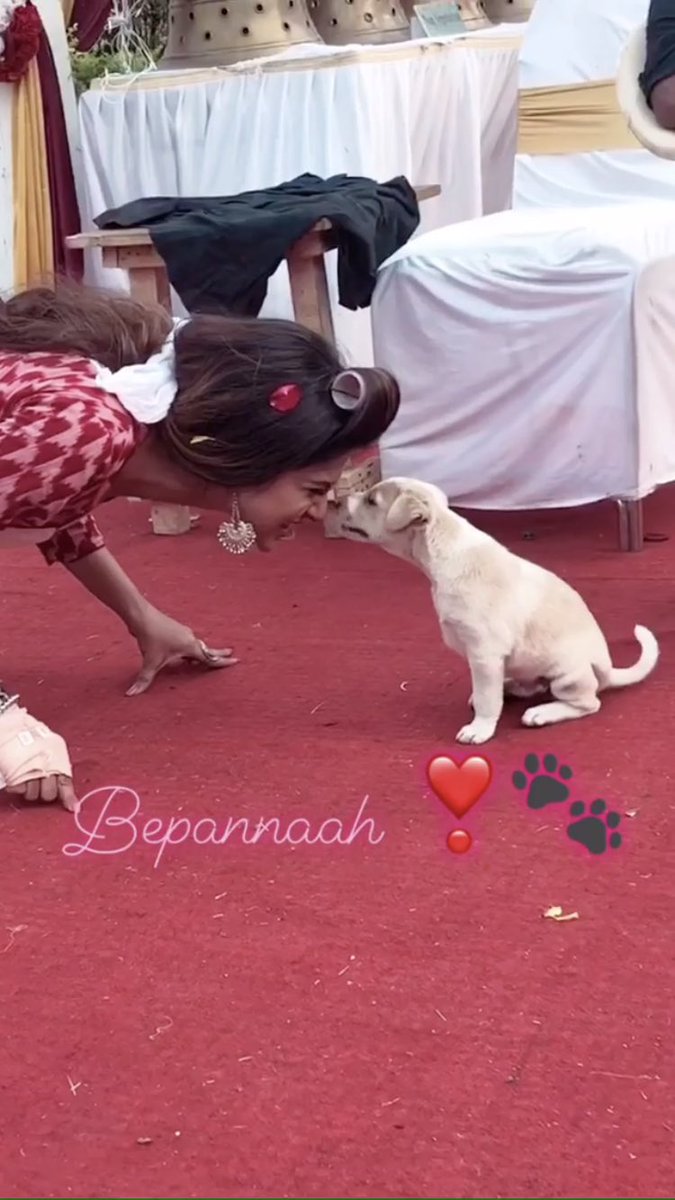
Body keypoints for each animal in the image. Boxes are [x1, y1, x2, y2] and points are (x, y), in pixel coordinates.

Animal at [336, 477, 659, 744]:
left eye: (371, 501)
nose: (336, 500)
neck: (443, 548)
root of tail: (608, 671)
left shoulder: (484, 653)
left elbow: (486, 699)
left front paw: (480, 729)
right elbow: (486, 694)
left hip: (567, 674)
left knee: (588, 702)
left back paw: (542, 713)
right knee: (531, 686)